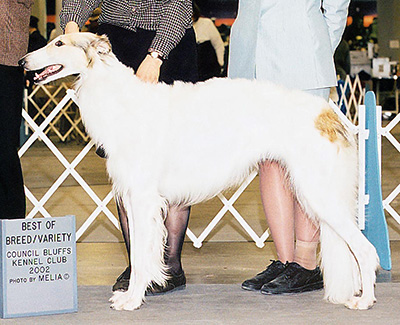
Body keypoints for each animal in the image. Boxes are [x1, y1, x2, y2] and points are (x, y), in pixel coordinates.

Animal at [21, 32, 378, 308]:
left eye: (59, 43)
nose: (23, 61)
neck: (120, 99)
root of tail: (327, 114)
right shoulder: (135, 198)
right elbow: (140, 254)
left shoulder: (143, 197)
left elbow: (140, 257)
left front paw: (132, 300)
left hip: (319, 192)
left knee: (365, 249)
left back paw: (364, 299)